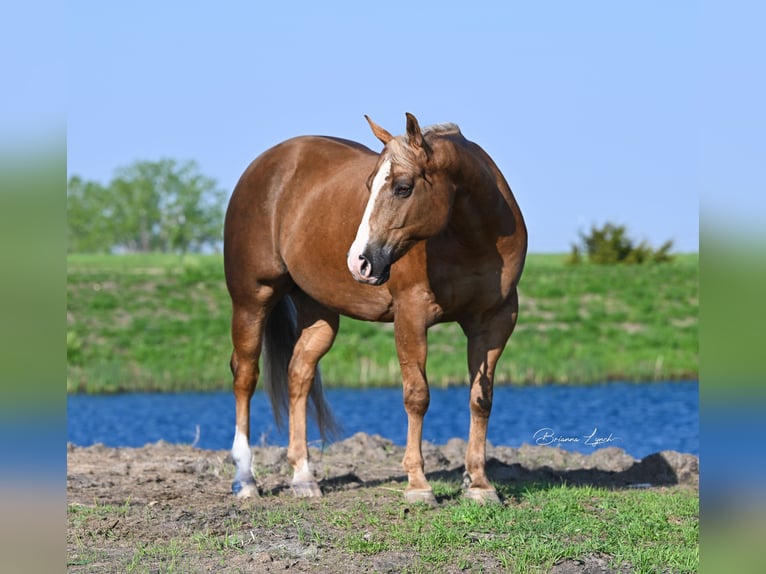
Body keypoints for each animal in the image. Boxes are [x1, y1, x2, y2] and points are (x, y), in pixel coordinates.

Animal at [224, 115, 528, 506]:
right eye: (369, 186)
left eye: (403, 187)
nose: (359, 261)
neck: (472, 238)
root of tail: (265, 165)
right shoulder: (411, 316)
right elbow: (417, 395)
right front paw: (418, 484)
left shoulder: (495, 321)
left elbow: (481, 398)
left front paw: (479, 484)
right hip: (252, 300)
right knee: (245, 376)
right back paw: (245, 479)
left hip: (319, 314)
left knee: (299, 374)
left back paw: (304, 478)